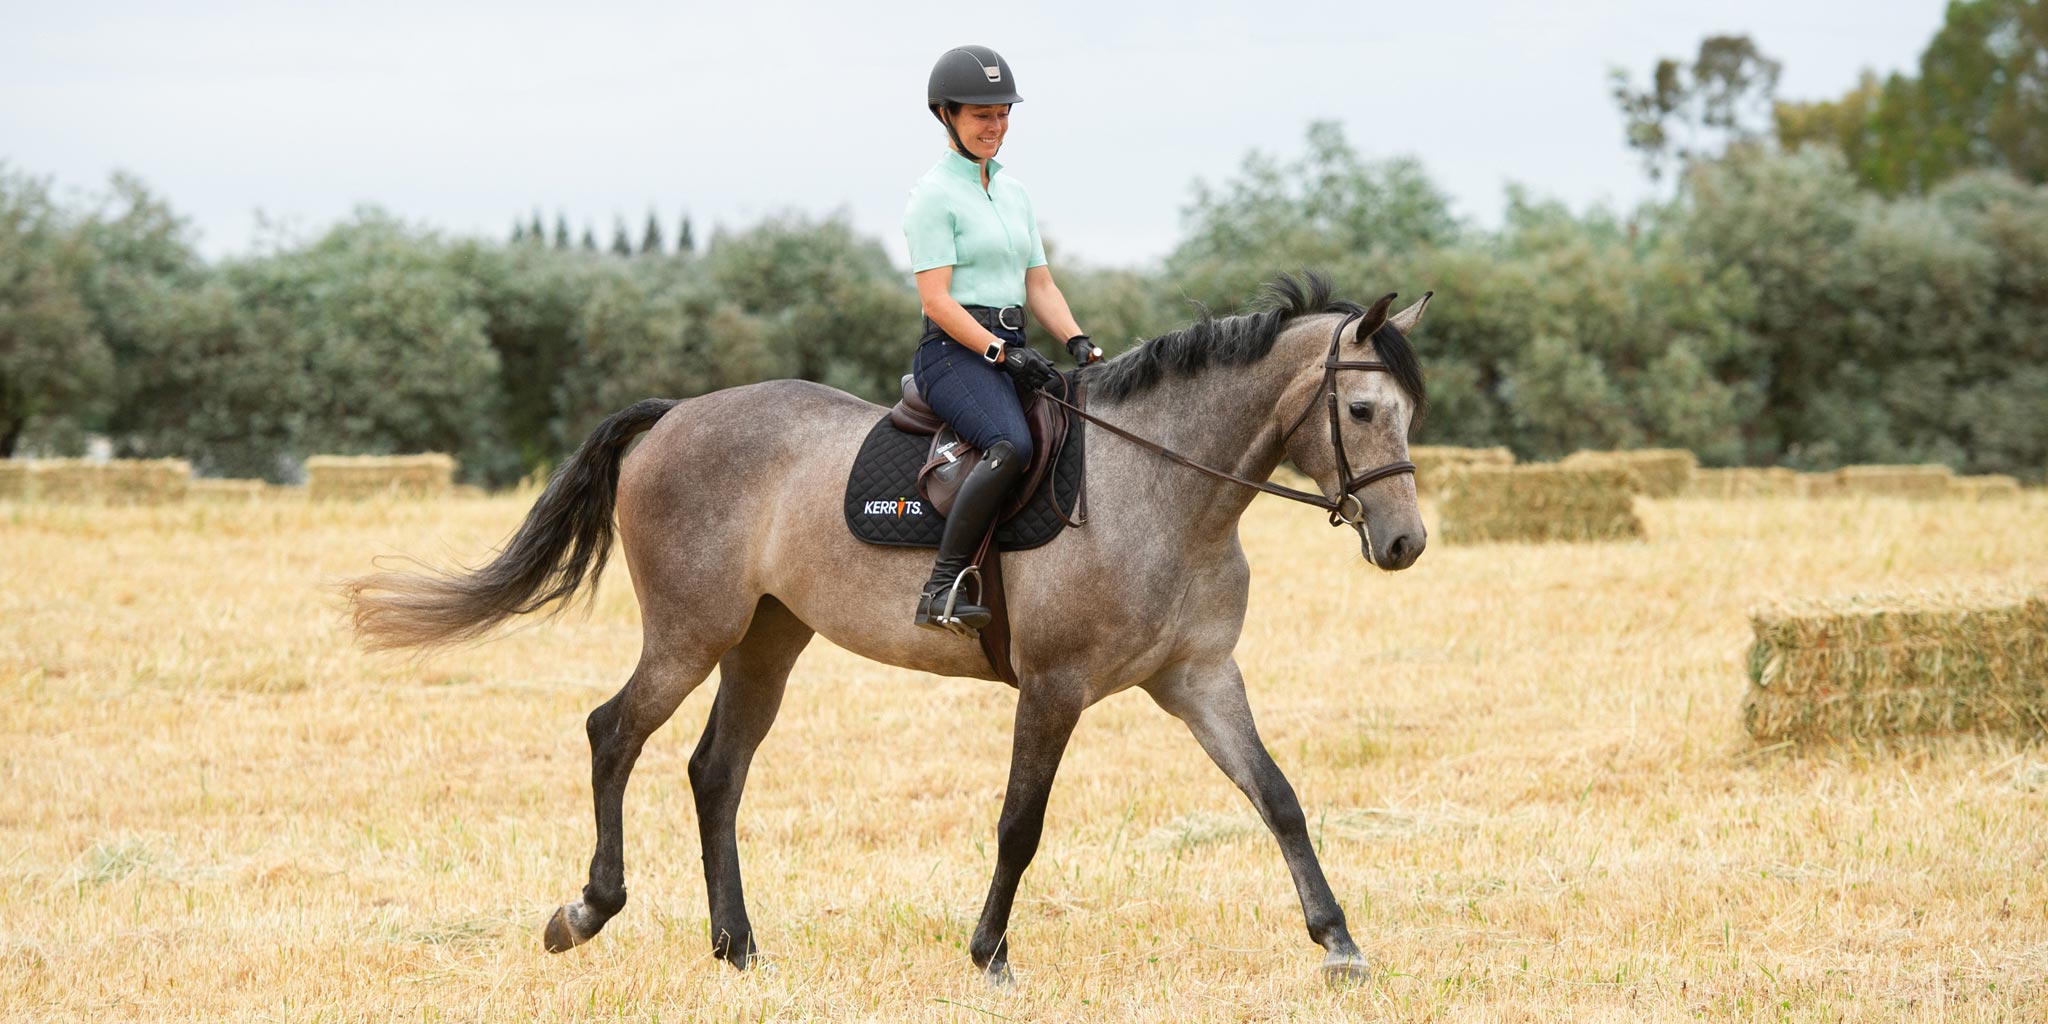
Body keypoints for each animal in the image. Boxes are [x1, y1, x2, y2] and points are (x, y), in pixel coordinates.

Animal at [344, 270, 1433, 983]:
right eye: (1361, 409)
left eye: (1409, 412)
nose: (1405, 542)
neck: (1161, 486)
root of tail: (676, 414)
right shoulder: (1055, 686)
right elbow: (1020, 822)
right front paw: (989, 954)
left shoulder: (1200, 676)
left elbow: (1277, 797)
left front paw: (1339, 943)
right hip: (693, 632)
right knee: (614, 732)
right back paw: (585, 912)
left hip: (767, 639)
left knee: (714, 772)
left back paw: (738, 948)